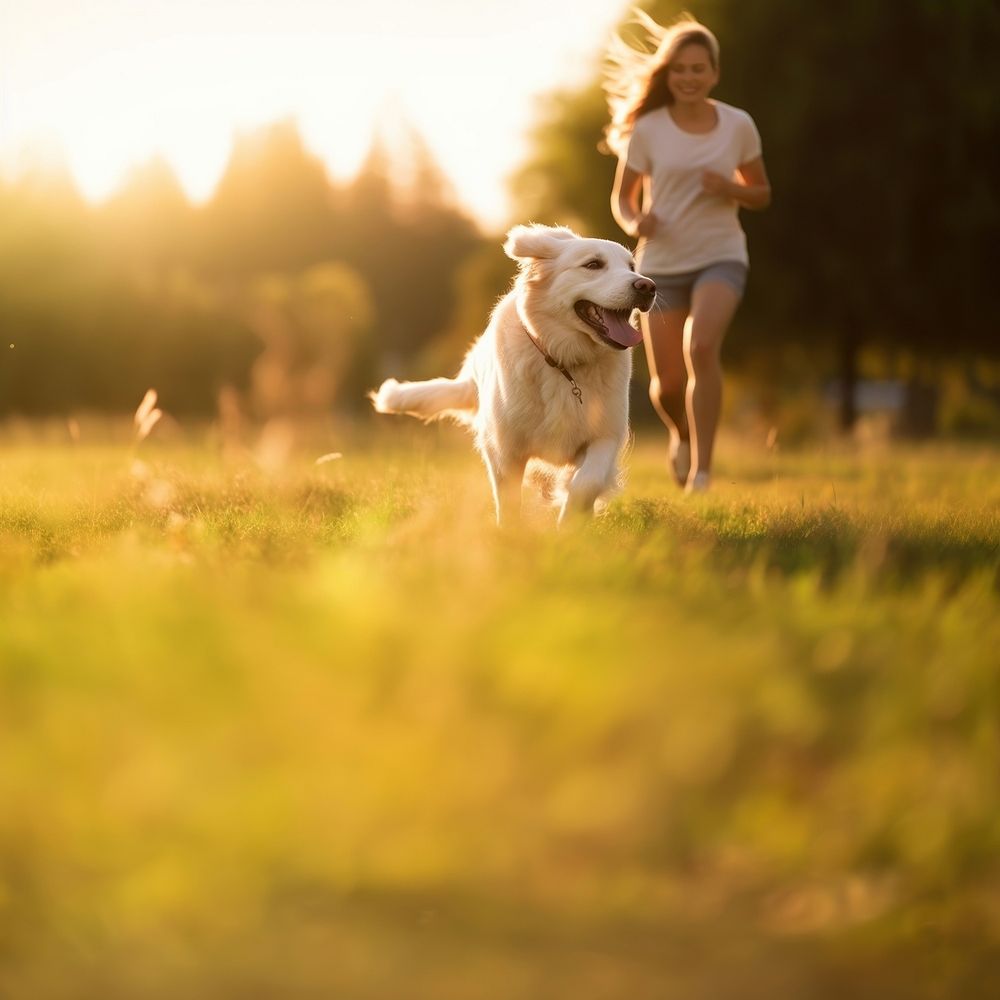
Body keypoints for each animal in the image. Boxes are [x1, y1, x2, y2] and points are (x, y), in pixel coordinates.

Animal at [368, 225, 656, 524]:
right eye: (593, 265)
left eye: (632, 267)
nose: (647, 286)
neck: (563, 362)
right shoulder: (505, 449)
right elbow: (508, 502)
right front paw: (511, 532)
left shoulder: (605, 436)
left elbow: (586, 482)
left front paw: (568, 525)